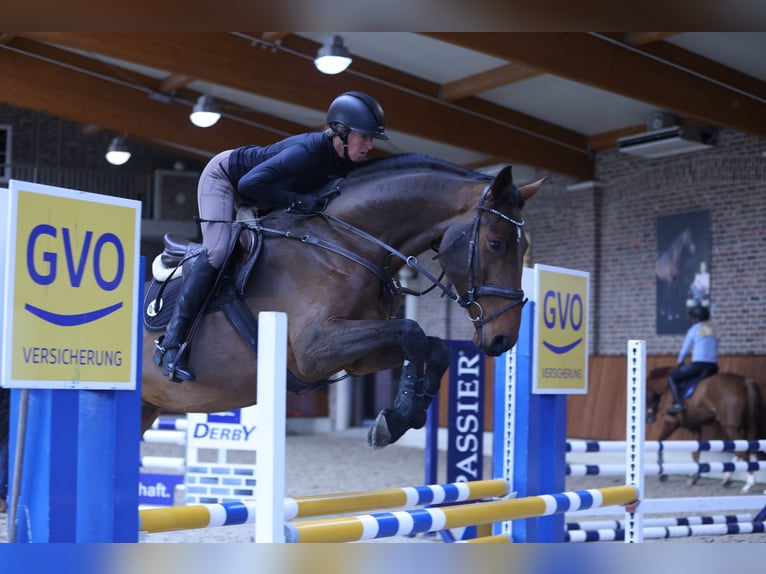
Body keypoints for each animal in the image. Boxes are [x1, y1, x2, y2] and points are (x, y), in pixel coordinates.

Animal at [140, 154, 544, 450]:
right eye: (495, 243)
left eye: (525, 246)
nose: (504, 338)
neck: (346, 244)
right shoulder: (314, 348)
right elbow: (412, 332)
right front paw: (400, 411)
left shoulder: (356, 356)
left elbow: (434, 346)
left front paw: (403, 416)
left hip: (148, 407)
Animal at [648, 364, 766, 496]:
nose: (649, 419)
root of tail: (745, 382)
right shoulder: (695, 427)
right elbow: (695, 453)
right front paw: (695, 478)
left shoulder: (671, 423)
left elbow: (660, 443)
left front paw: (663, 474)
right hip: (744, 426)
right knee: (743, 449)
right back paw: (727, 479)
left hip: (730, 427)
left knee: (743, 450)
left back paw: (748, 484)